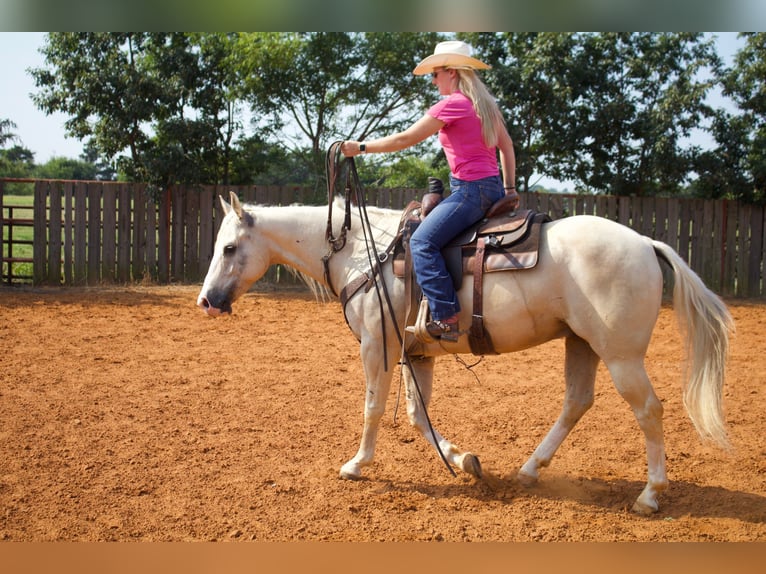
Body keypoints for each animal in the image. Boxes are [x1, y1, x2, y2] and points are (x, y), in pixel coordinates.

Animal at [196, 190, 732, 516]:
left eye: (228, 248)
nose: (207, 301)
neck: (361, 252)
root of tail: (645, 241)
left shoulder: (377, 346)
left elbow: (373, 408)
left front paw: (356, 464)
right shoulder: (417, 354)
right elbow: (418, 416)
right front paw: (464, 461)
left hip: (621, 356)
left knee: (649, 410)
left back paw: (650, 495)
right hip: (581, 344)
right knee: (577, 402)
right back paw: (529, 470)